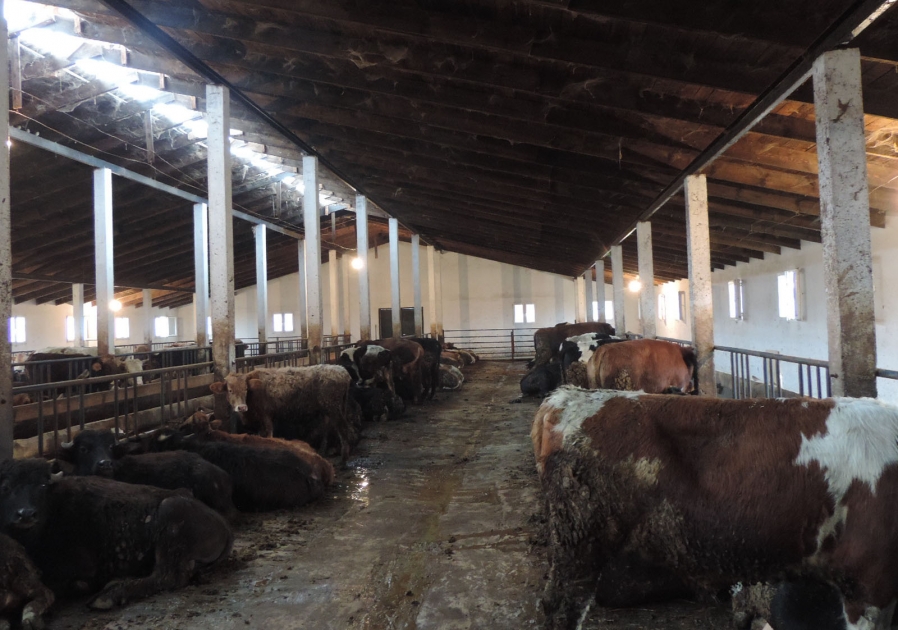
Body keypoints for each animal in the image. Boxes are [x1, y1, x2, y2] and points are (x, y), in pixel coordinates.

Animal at [0, 458, 232, 610]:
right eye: (5, 487)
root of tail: (223, 524)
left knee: (166, 577)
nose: (26, 514)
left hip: (170, 516)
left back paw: (109, 596)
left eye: (42, 485)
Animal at [209, 365, 358, 461]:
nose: (241, 407)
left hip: (334, 409)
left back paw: (344, 459)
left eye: (246, 389)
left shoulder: (266, 415)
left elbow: (269, 435)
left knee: (345, 430)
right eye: (230, 390)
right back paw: (323, 451)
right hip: (331, 409)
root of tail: (343, 371)